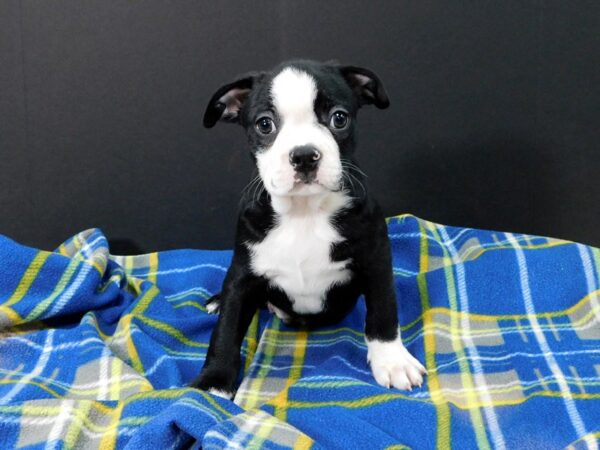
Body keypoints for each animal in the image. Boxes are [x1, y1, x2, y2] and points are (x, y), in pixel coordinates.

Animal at [192, 59, 426, 398]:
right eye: (265, 125)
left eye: (339, 118)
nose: (304, 155)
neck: (304, 212)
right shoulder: (243, 274)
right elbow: (226, 331)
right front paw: (213, 385)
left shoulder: (376, 260)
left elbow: (383, 312)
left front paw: (392, 361)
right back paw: (217, 300)